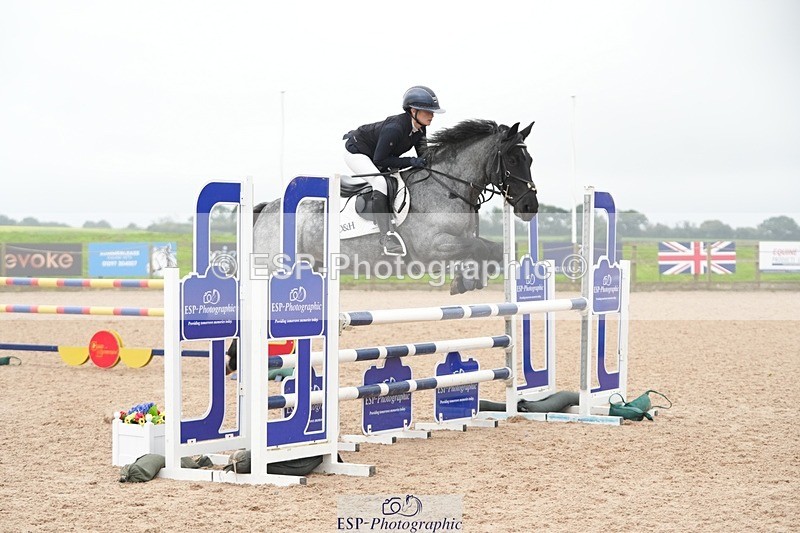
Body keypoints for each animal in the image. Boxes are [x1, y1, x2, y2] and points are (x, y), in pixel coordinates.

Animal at [252, 119, 538, 295]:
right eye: (512, 159)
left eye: (530, 159)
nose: (530, 206)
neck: (447, 186)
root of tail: (267, 208)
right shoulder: (431, 247)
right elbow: (478, 247)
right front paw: (466, 280)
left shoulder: (462, 238)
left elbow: (491, 248)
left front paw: (468, 279)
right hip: (272, 266)